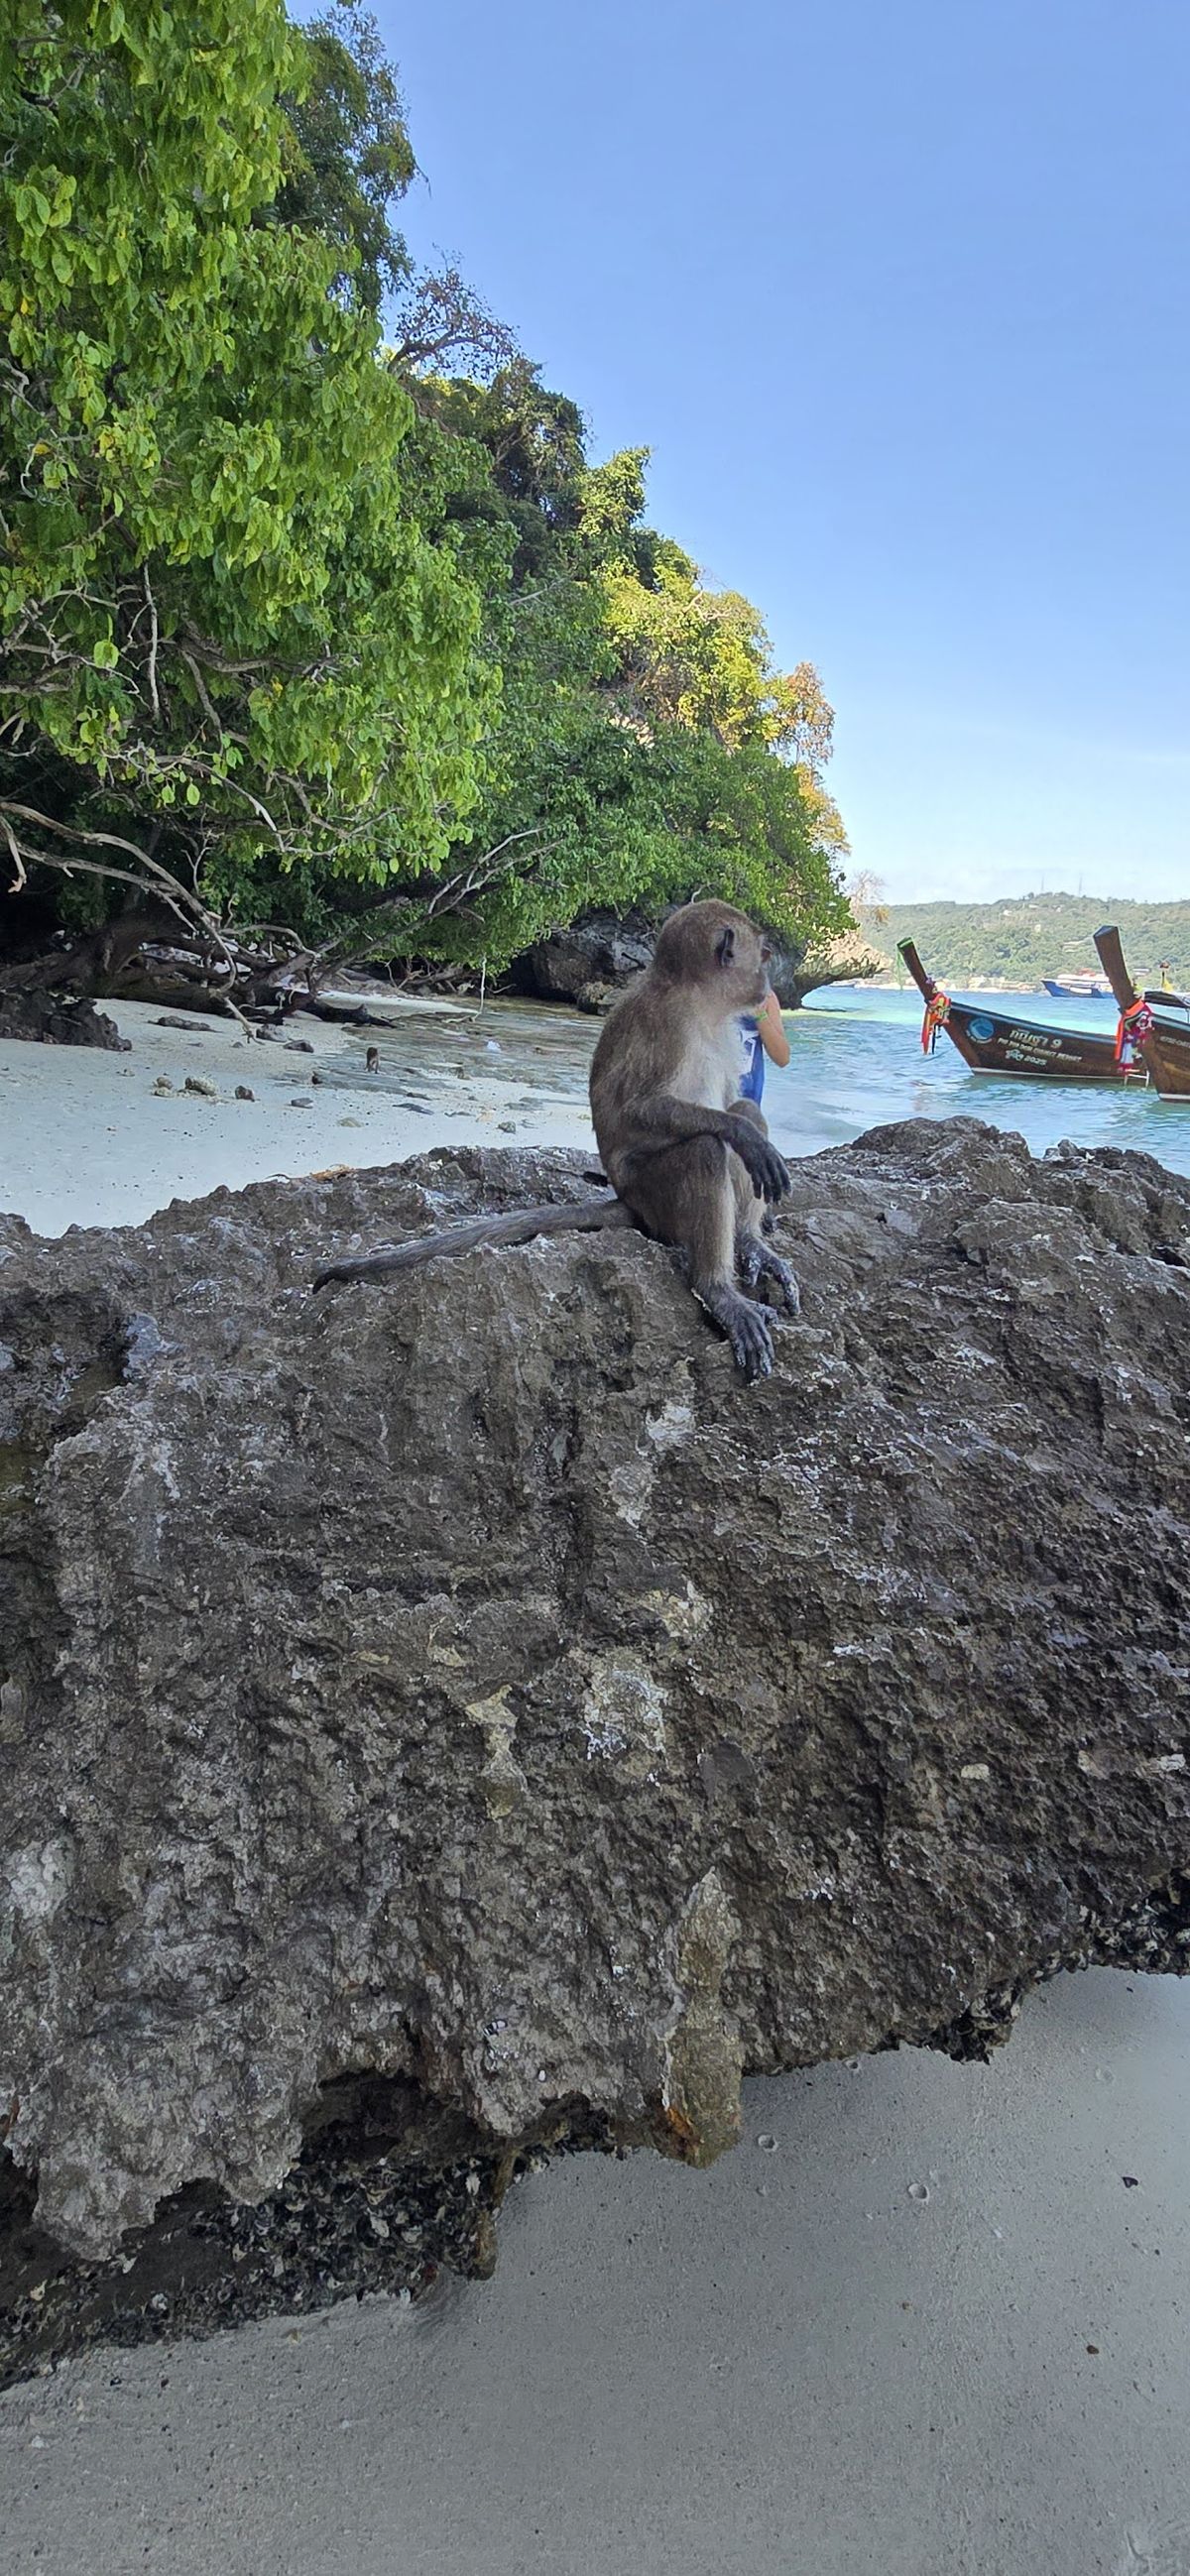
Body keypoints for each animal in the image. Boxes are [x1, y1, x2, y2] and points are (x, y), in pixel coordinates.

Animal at [314, 900, 797, 1379]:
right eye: (764, 956)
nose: (766, 987)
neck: (700, 1003)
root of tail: (630, 1201)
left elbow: (735, 1103)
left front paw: (754, 1225)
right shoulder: (668, 1024)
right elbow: (641, 1109)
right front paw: (744, 1139)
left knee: (744, 1112)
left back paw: (747, 1240)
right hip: (654, 1195)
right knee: (704, 1150)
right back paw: (717, 1289)